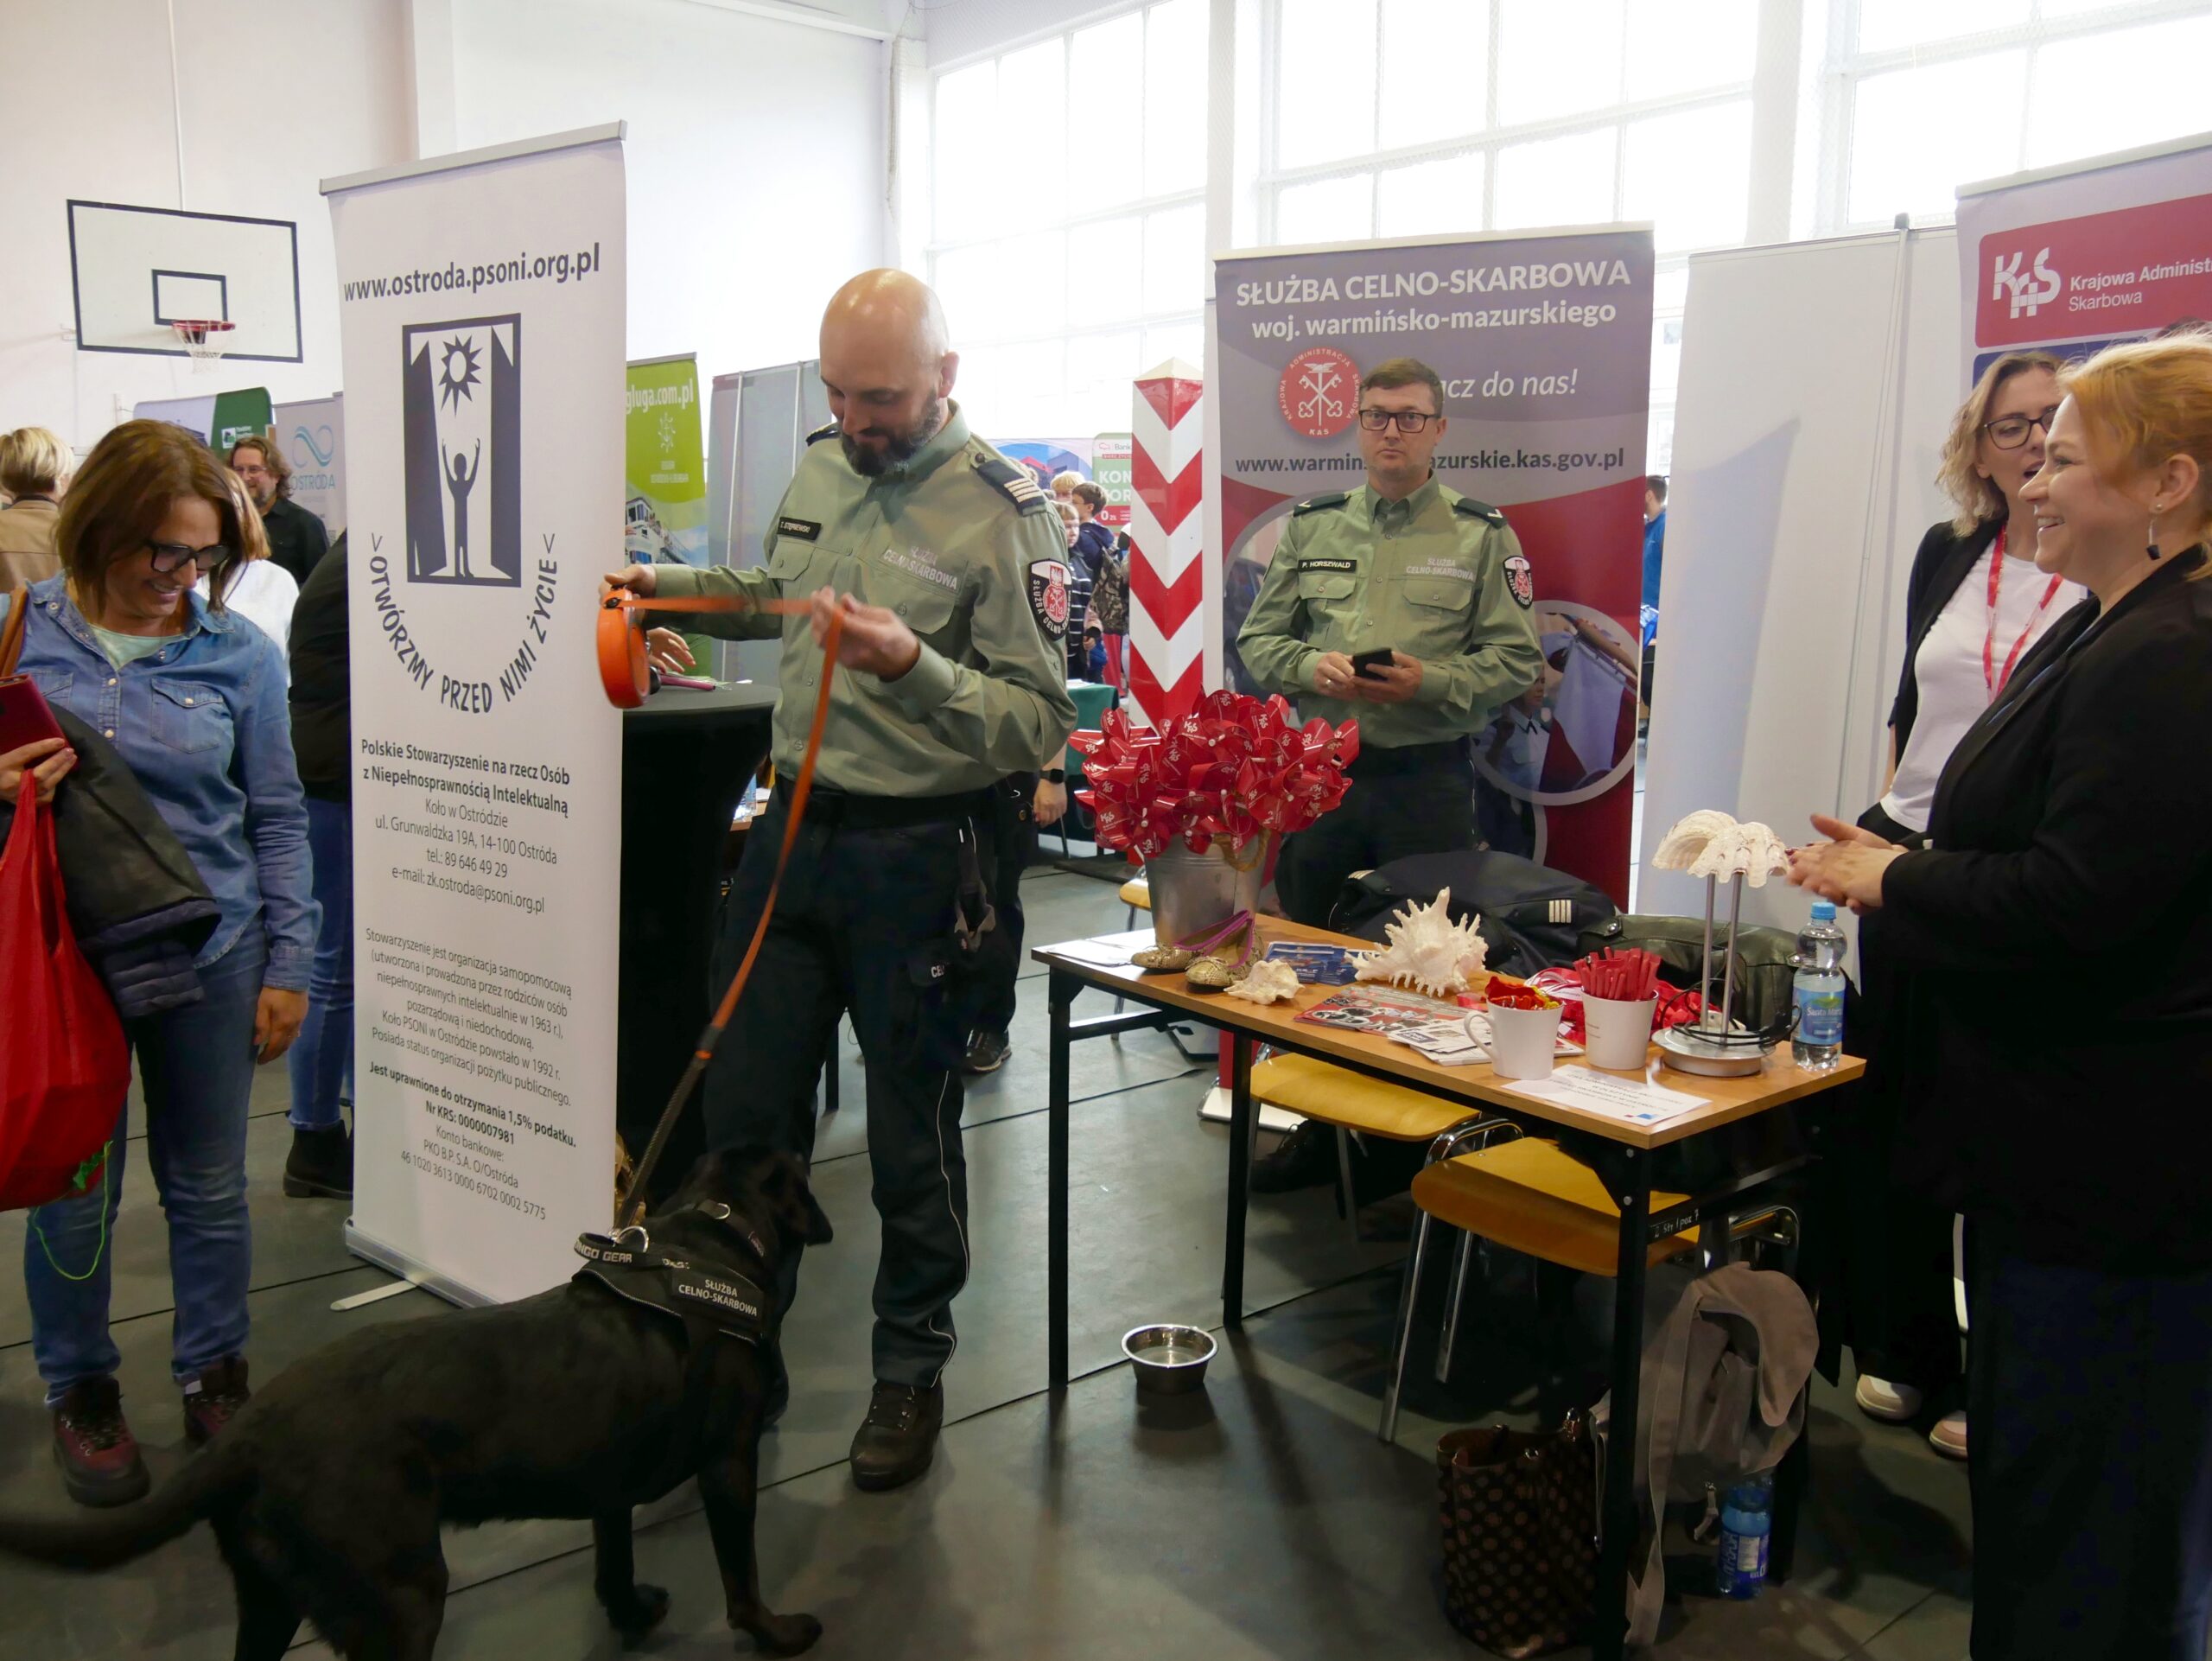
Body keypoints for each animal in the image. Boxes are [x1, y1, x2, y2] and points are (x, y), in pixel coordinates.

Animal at [0, 1146, 831, 1659]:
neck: (712, 1239)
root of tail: (249, 1433)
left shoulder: (610, 1484)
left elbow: (613, 1559)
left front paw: (629, 1613)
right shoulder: (729, 1463)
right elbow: (741, 1577)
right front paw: (777, 1632)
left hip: (269, 1598)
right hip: (403, 1597)